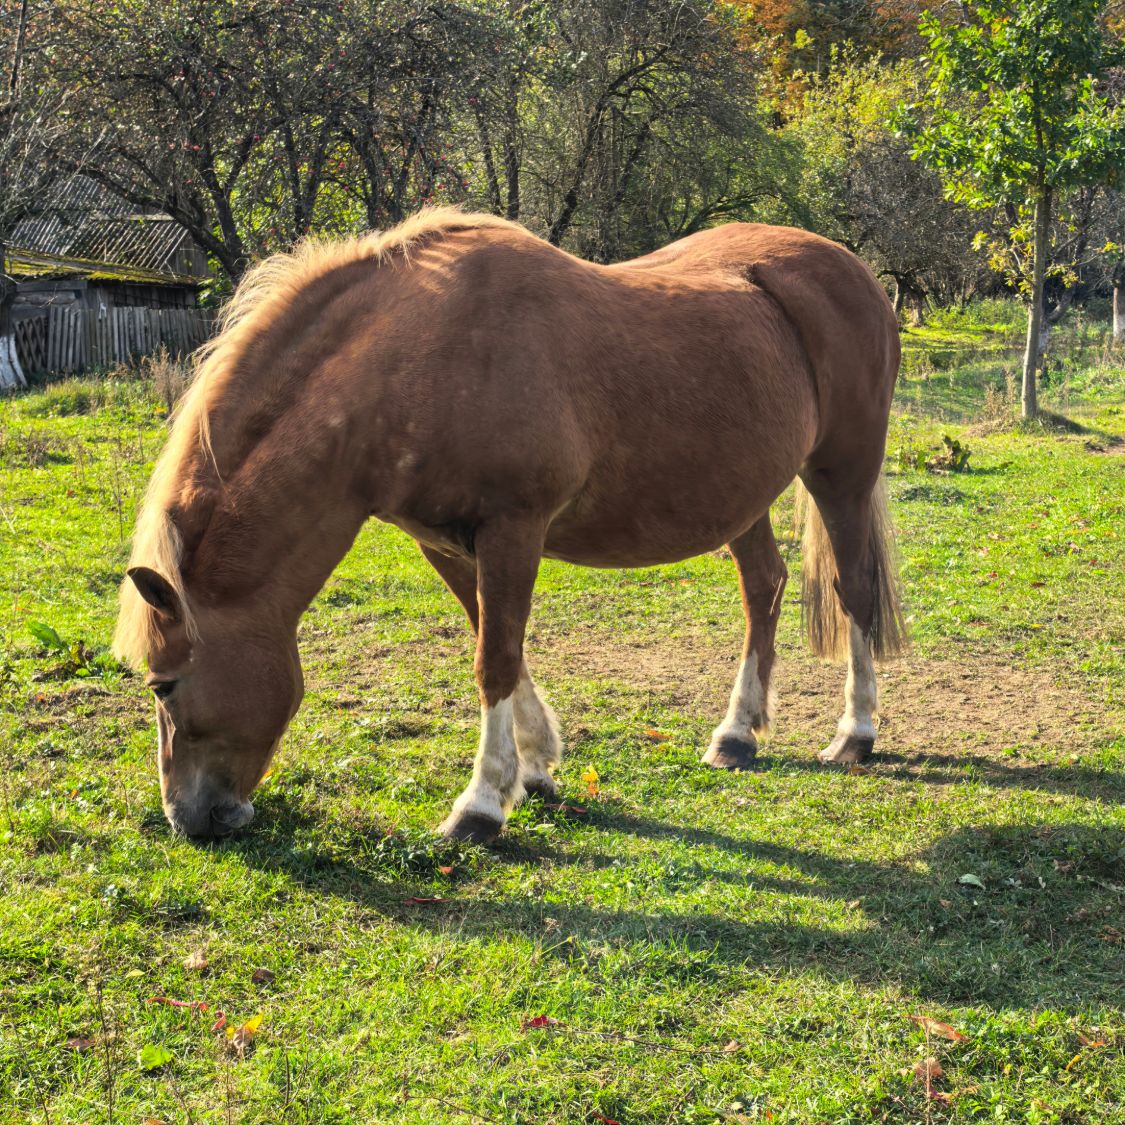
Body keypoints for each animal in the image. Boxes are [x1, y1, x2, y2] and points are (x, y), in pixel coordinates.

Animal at [113, 208, 906, 843]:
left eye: (163, 685)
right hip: (742, 494)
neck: (415, 358)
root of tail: (850, 269)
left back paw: (854, 734)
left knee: (854, 590)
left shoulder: (513, 530)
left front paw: (481, 805)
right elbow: (499, 644)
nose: (188, 818)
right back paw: (737, 734)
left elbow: (492, 659)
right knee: (763, 588)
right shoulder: (445, 542)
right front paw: (535, 769)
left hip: (841, 473)